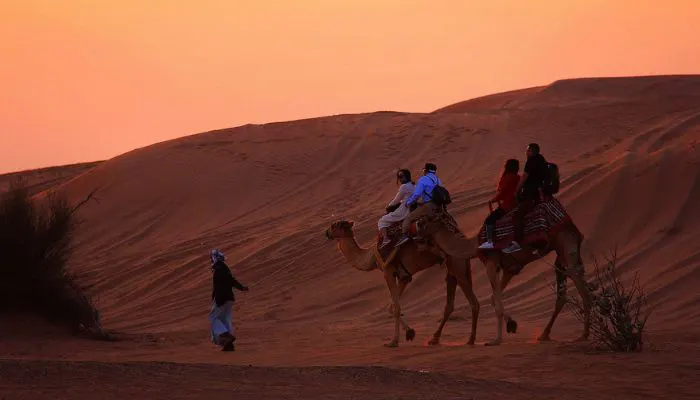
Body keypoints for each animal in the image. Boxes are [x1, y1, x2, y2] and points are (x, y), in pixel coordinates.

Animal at [324, 220, 478, 348]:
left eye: (334, 225)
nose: (326, 233)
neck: (371, 257)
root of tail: (463, 237)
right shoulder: (404, 276)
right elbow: (392, 306)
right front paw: (410, 332)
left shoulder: (388, 271)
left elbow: (396, 307)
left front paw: (393, 342)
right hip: (454, 267)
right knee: (449, 303)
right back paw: (434, 339)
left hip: (457, 264)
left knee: (473, 302)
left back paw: (471, 340)